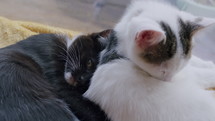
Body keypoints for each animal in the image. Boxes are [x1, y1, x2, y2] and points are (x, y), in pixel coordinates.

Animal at [85, 1, 215, 121]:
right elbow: (196, 74)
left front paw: (208, 63)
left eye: (179, 68)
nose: (169, 81)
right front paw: (210, 71)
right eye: (163, 71)